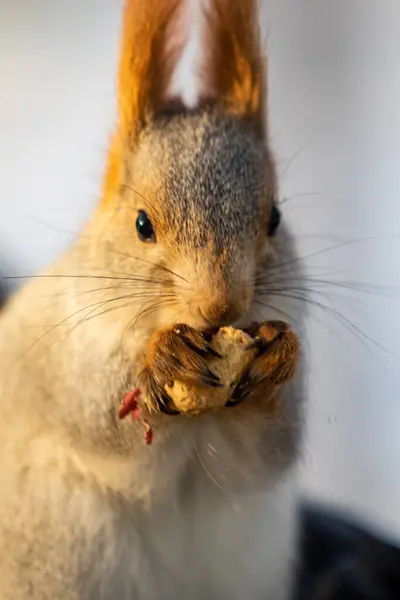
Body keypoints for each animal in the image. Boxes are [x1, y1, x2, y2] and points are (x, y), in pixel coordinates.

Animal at [0, 1, 304, 600]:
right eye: (142, 225)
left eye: (275, 219)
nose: (221, 306)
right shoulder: (57, 360)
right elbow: (99, 420)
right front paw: (162, 360)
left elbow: (269, 449)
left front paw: (279, 356)